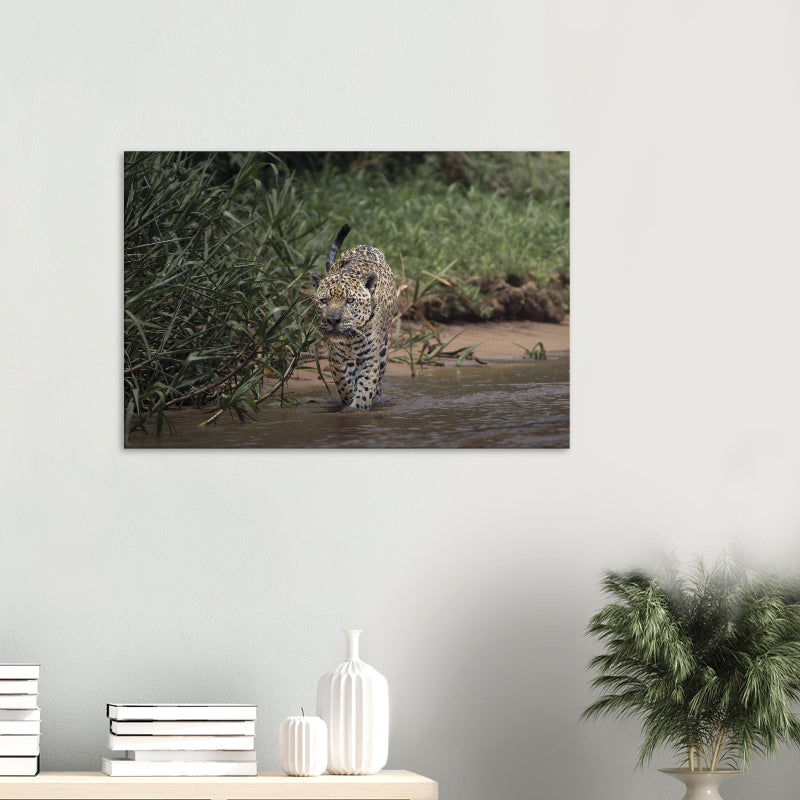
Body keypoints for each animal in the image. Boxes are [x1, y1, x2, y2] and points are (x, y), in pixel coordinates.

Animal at [310, 225, 397, 410]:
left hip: (384, 350)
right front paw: (348, 401)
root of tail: (365, 245)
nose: (333, 320)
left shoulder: (370, 357)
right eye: (324, 301)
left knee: (379, 379)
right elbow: (344, 383)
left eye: (350, 300)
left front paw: (357, 408)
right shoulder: (337, 357)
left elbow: (366, 386)